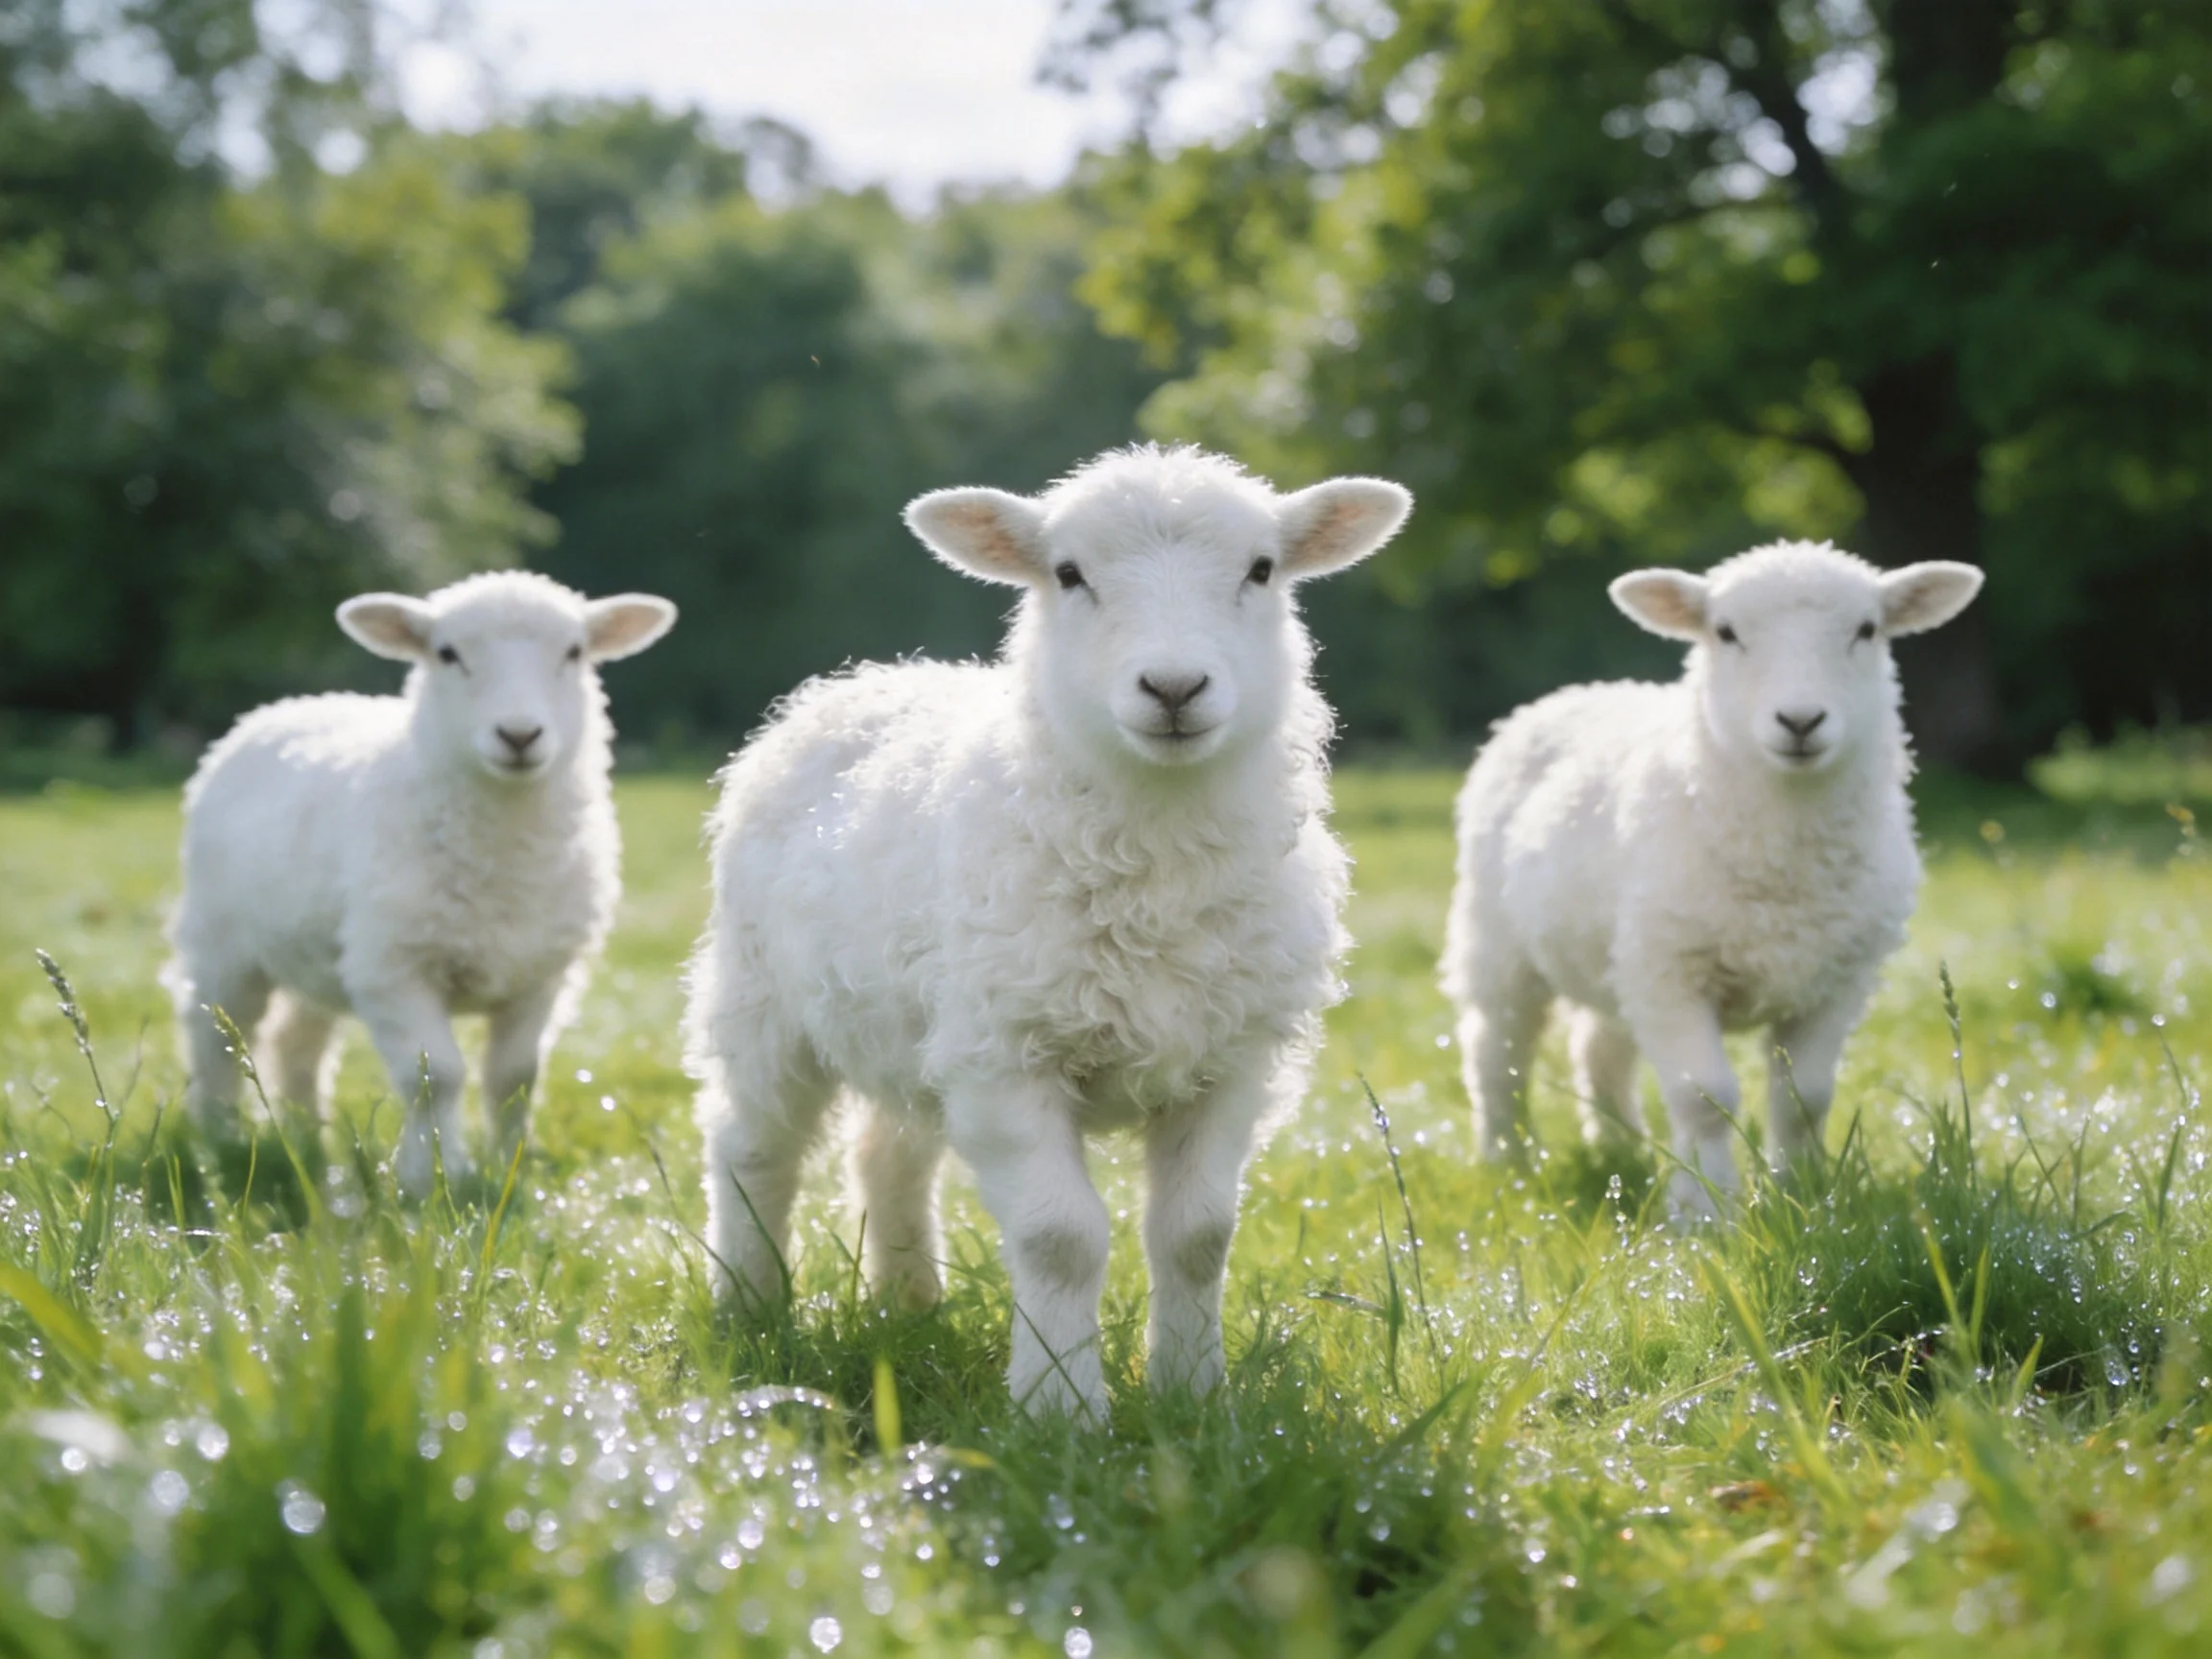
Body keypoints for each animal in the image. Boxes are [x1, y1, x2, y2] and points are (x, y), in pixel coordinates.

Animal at [164, 571, 676, 1197]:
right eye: (447, 654)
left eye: (575, 653)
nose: (520, 735)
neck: (504, 860)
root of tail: (286, 707)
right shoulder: (394, 969)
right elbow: (437, 1075)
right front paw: (433, 1176)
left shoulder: (543, 973)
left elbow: (514, 1075)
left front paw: (511, 1165)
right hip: (223, 938)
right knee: (211, 1032)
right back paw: (221, 1138)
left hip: (318, 950)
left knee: (297, 1042)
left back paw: (309, 1139)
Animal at [685, 445, 1411, 1415]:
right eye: (1069, 574)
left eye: (1261, 569)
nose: (1174, 688)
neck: (1155, 857)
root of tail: (866, 677)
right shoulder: (1006, 1053)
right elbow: (1060, 1239)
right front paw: (1058, 1408)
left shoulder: (1233, 1059)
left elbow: (1198, 1235)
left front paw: (1192, 1396)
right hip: (763, 993)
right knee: (753, 1147)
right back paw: (752, 1309)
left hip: (911, 1022)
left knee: (888, 1154)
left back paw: (910, 1304)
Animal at [1439, 541, 1983, 1218]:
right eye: (1725, 632)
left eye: (1867, 630)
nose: (1800, 721)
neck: (1784, 862)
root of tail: (1575, 693)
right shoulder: (1672, 969)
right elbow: (1705, 1096)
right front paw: (1704, 1209)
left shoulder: (1839, 978)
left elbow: (1804, 1097)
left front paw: (1802, 1194)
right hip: (1499, 940)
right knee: (1497, 1053)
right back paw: (1507, 1162)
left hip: (1616, 953)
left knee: (1598, 1049)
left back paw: (1621, 1149)